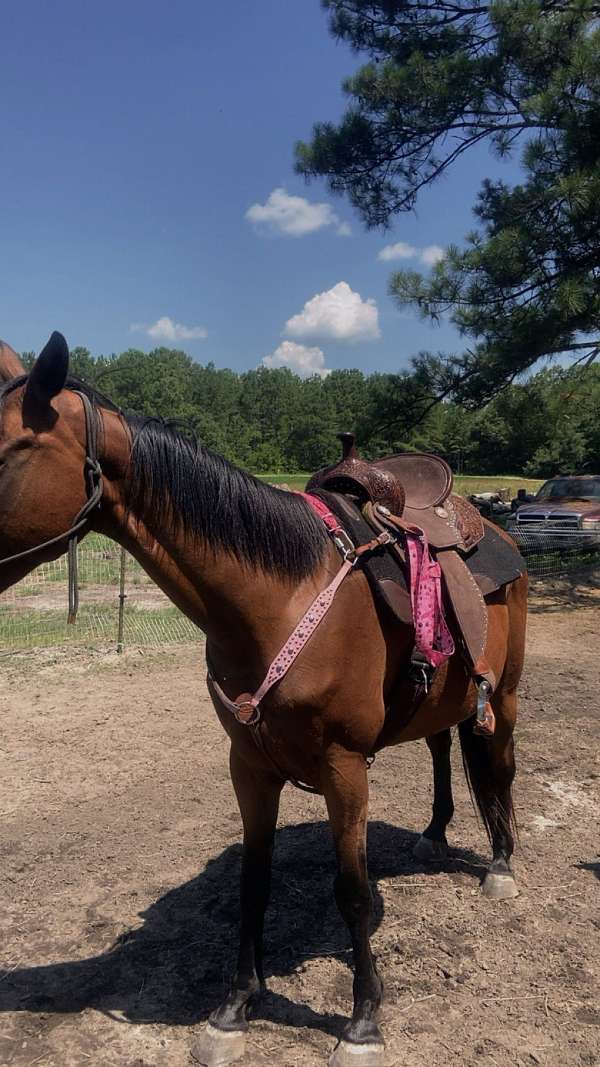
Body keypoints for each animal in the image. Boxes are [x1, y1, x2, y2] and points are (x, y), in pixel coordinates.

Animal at [0, 333, 527, 1067]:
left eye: (7, 450)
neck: (278, 600)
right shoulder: (248, 764)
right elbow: (254, 882)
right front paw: (236, 1006)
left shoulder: (344, 768)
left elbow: (353, 892)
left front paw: (363, 1020)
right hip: (441, 702)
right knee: (442, 743)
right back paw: (433, 832)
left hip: (502, 693)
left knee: (499, 766)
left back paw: (501, 863)